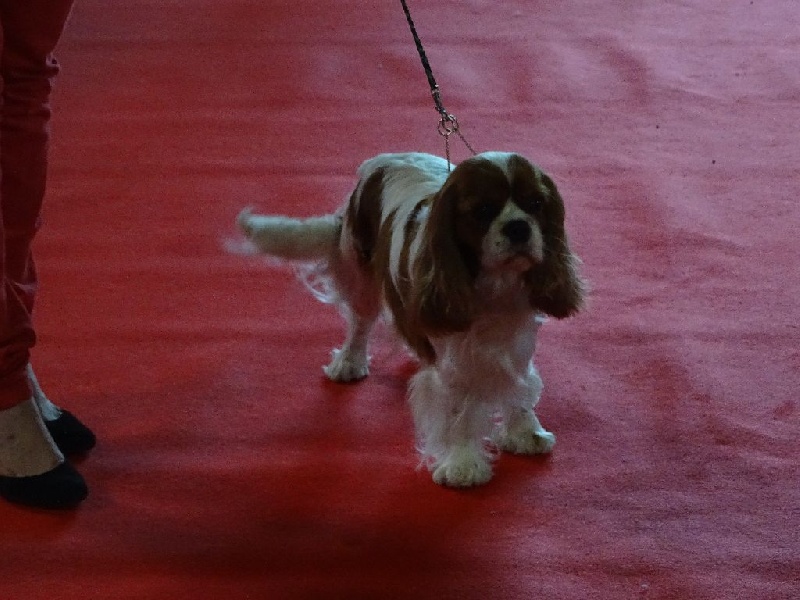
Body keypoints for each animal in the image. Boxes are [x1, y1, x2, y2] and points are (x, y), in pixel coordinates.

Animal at [238, 152, 585, 487]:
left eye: (536, 204)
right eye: (483, 210)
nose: (518, 227)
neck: (496, 287)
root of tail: (383, 160)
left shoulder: (518, 342)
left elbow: (520, 386)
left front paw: (525, 433)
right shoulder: (452, 361)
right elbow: (458, 407)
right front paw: (463, 465)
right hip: (361, 273)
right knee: (360, 324)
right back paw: (349, 363)